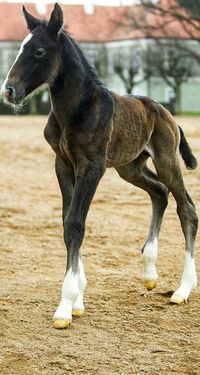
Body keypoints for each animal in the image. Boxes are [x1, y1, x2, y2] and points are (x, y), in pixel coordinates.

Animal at [1, 4, 198, 330]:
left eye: (39, 51)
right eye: (19, 48)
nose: (9, 91)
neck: (75, 109)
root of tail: (166, 112)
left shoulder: (92, 167)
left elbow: (75, 223)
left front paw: (66, 306)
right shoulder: (63, 164)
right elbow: (68, 220)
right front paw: (79, 300)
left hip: (165, 160)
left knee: (187, 209)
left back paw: (183, 289)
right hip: (130, 167)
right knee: (159, 193)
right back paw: (149, 273)